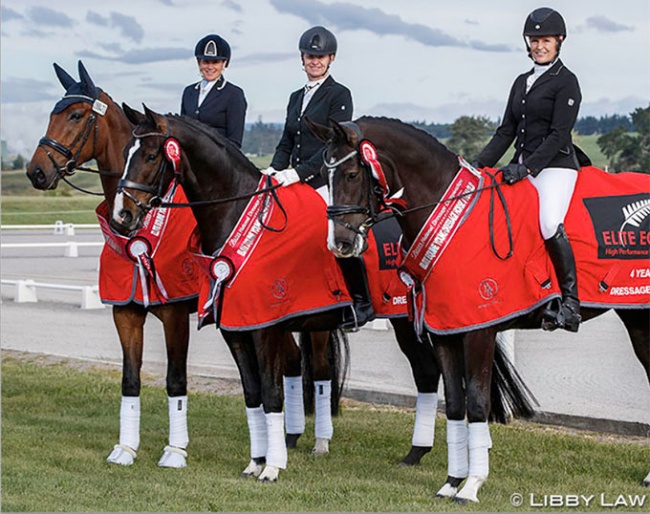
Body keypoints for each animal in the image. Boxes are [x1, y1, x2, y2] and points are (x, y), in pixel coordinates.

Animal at [24, 60, 346, 472]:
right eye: (53, 113)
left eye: (76, 115)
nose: (36, 172)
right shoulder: (126, 312)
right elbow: (130, 380)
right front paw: (125, 449)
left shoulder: (176, 313)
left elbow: (176, 380)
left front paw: (175, 451)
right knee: (291, 361)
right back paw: (288, 439)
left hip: (311, 317)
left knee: (318, 369)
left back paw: (319, 442)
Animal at [110, 104, 536, 480]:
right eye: (126, 152)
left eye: (150, 154)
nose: (123, 216)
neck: (239, 217)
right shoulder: (236, 330)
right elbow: (252, 394)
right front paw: (255, 461)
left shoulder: (264, 327)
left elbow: (271, 394)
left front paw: (272, 467)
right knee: (425, 374)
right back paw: (416, 454)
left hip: (406, 319)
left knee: (430, 374)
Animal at [312, 116, 644, 500]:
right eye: (324, 174)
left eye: (352, 174)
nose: (339, 243)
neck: (450, 217)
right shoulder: (445, 330)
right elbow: (456, 403)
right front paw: (451, 482)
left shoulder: (478, 331)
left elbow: (477, 403)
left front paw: (471, 485)